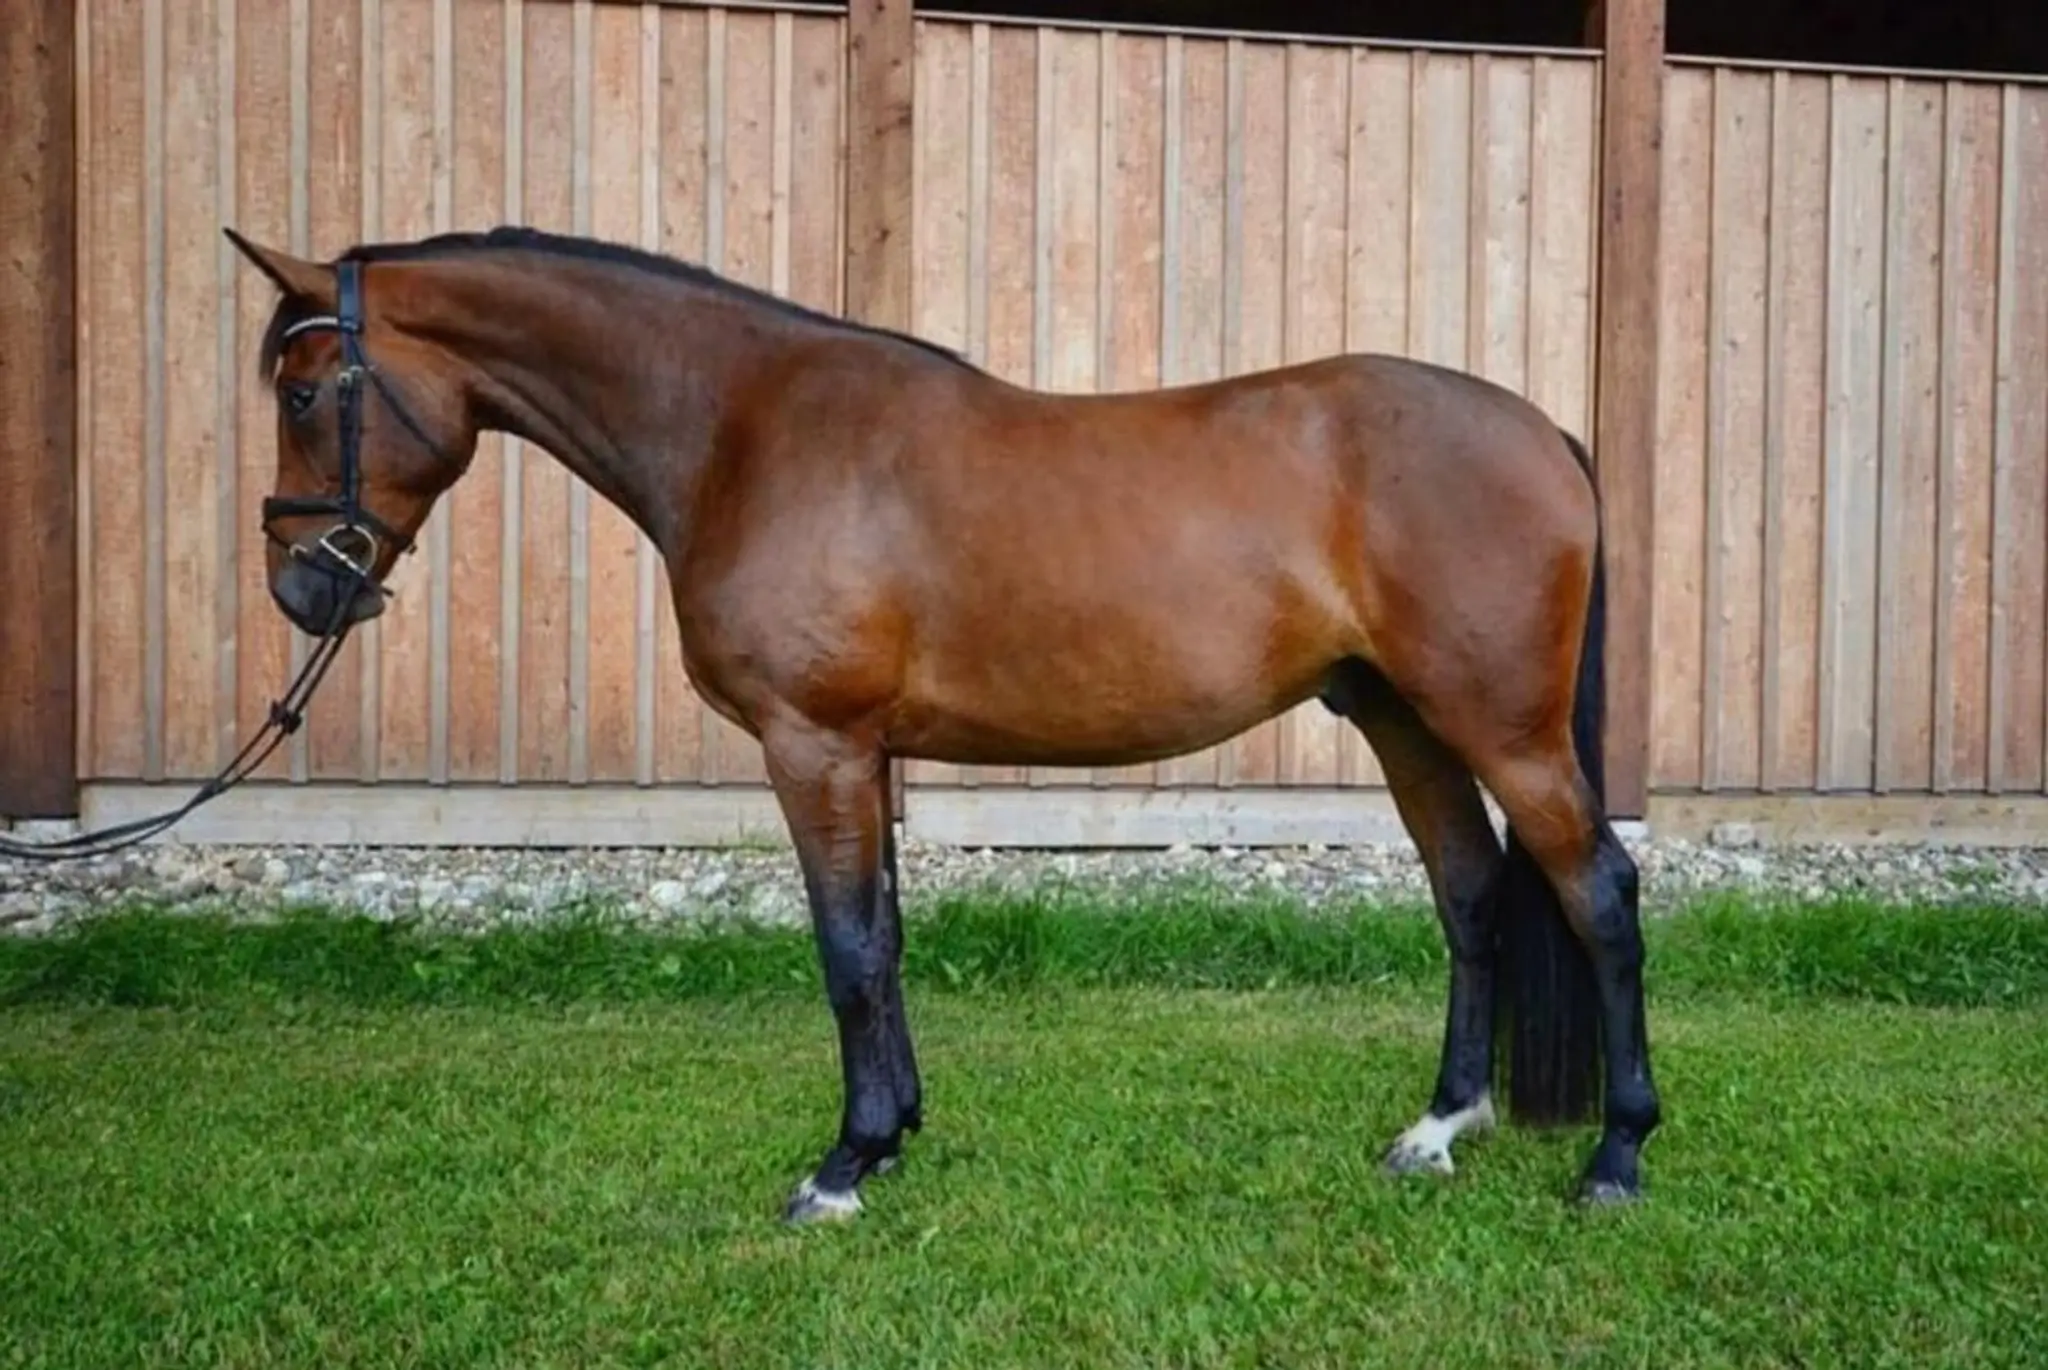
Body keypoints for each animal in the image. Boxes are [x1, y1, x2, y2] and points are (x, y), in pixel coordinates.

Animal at [223, 222, 1659, 1223]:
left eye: (303, 393)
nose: (299, 590)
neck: (746, 428)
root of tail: (1544, 431)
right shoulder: (868, 753)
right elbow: (888, 939)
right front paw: (898, 1129)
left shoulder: (813, 743)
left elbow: (846, 945)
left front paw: (842, 1166)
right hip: (1402, 716)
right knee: (1469, 889)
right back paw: (1440, 1127)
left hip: (1500, 722)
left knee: (1596, 890)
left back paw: (1616, 1153)